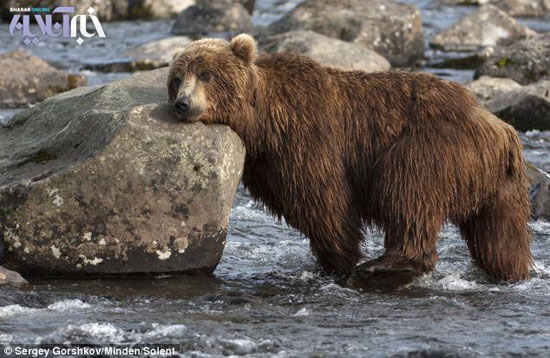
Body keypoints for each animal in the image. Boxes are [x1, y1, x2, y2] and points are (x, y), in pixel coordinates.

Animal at [168, 34, 536, 282]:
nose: (183, 104)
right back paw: (511, 271)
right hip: (499, 183)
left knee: (406, 189)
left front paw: (340, 259)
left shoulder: (307, 136)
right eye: (177, 78)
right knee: (500, 234)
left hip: (431, 147)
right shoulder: (267, 165)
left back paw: (386, 262)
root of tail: (498, 126)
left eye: (206, 74)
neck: (263, 120)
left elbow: (325, 199)